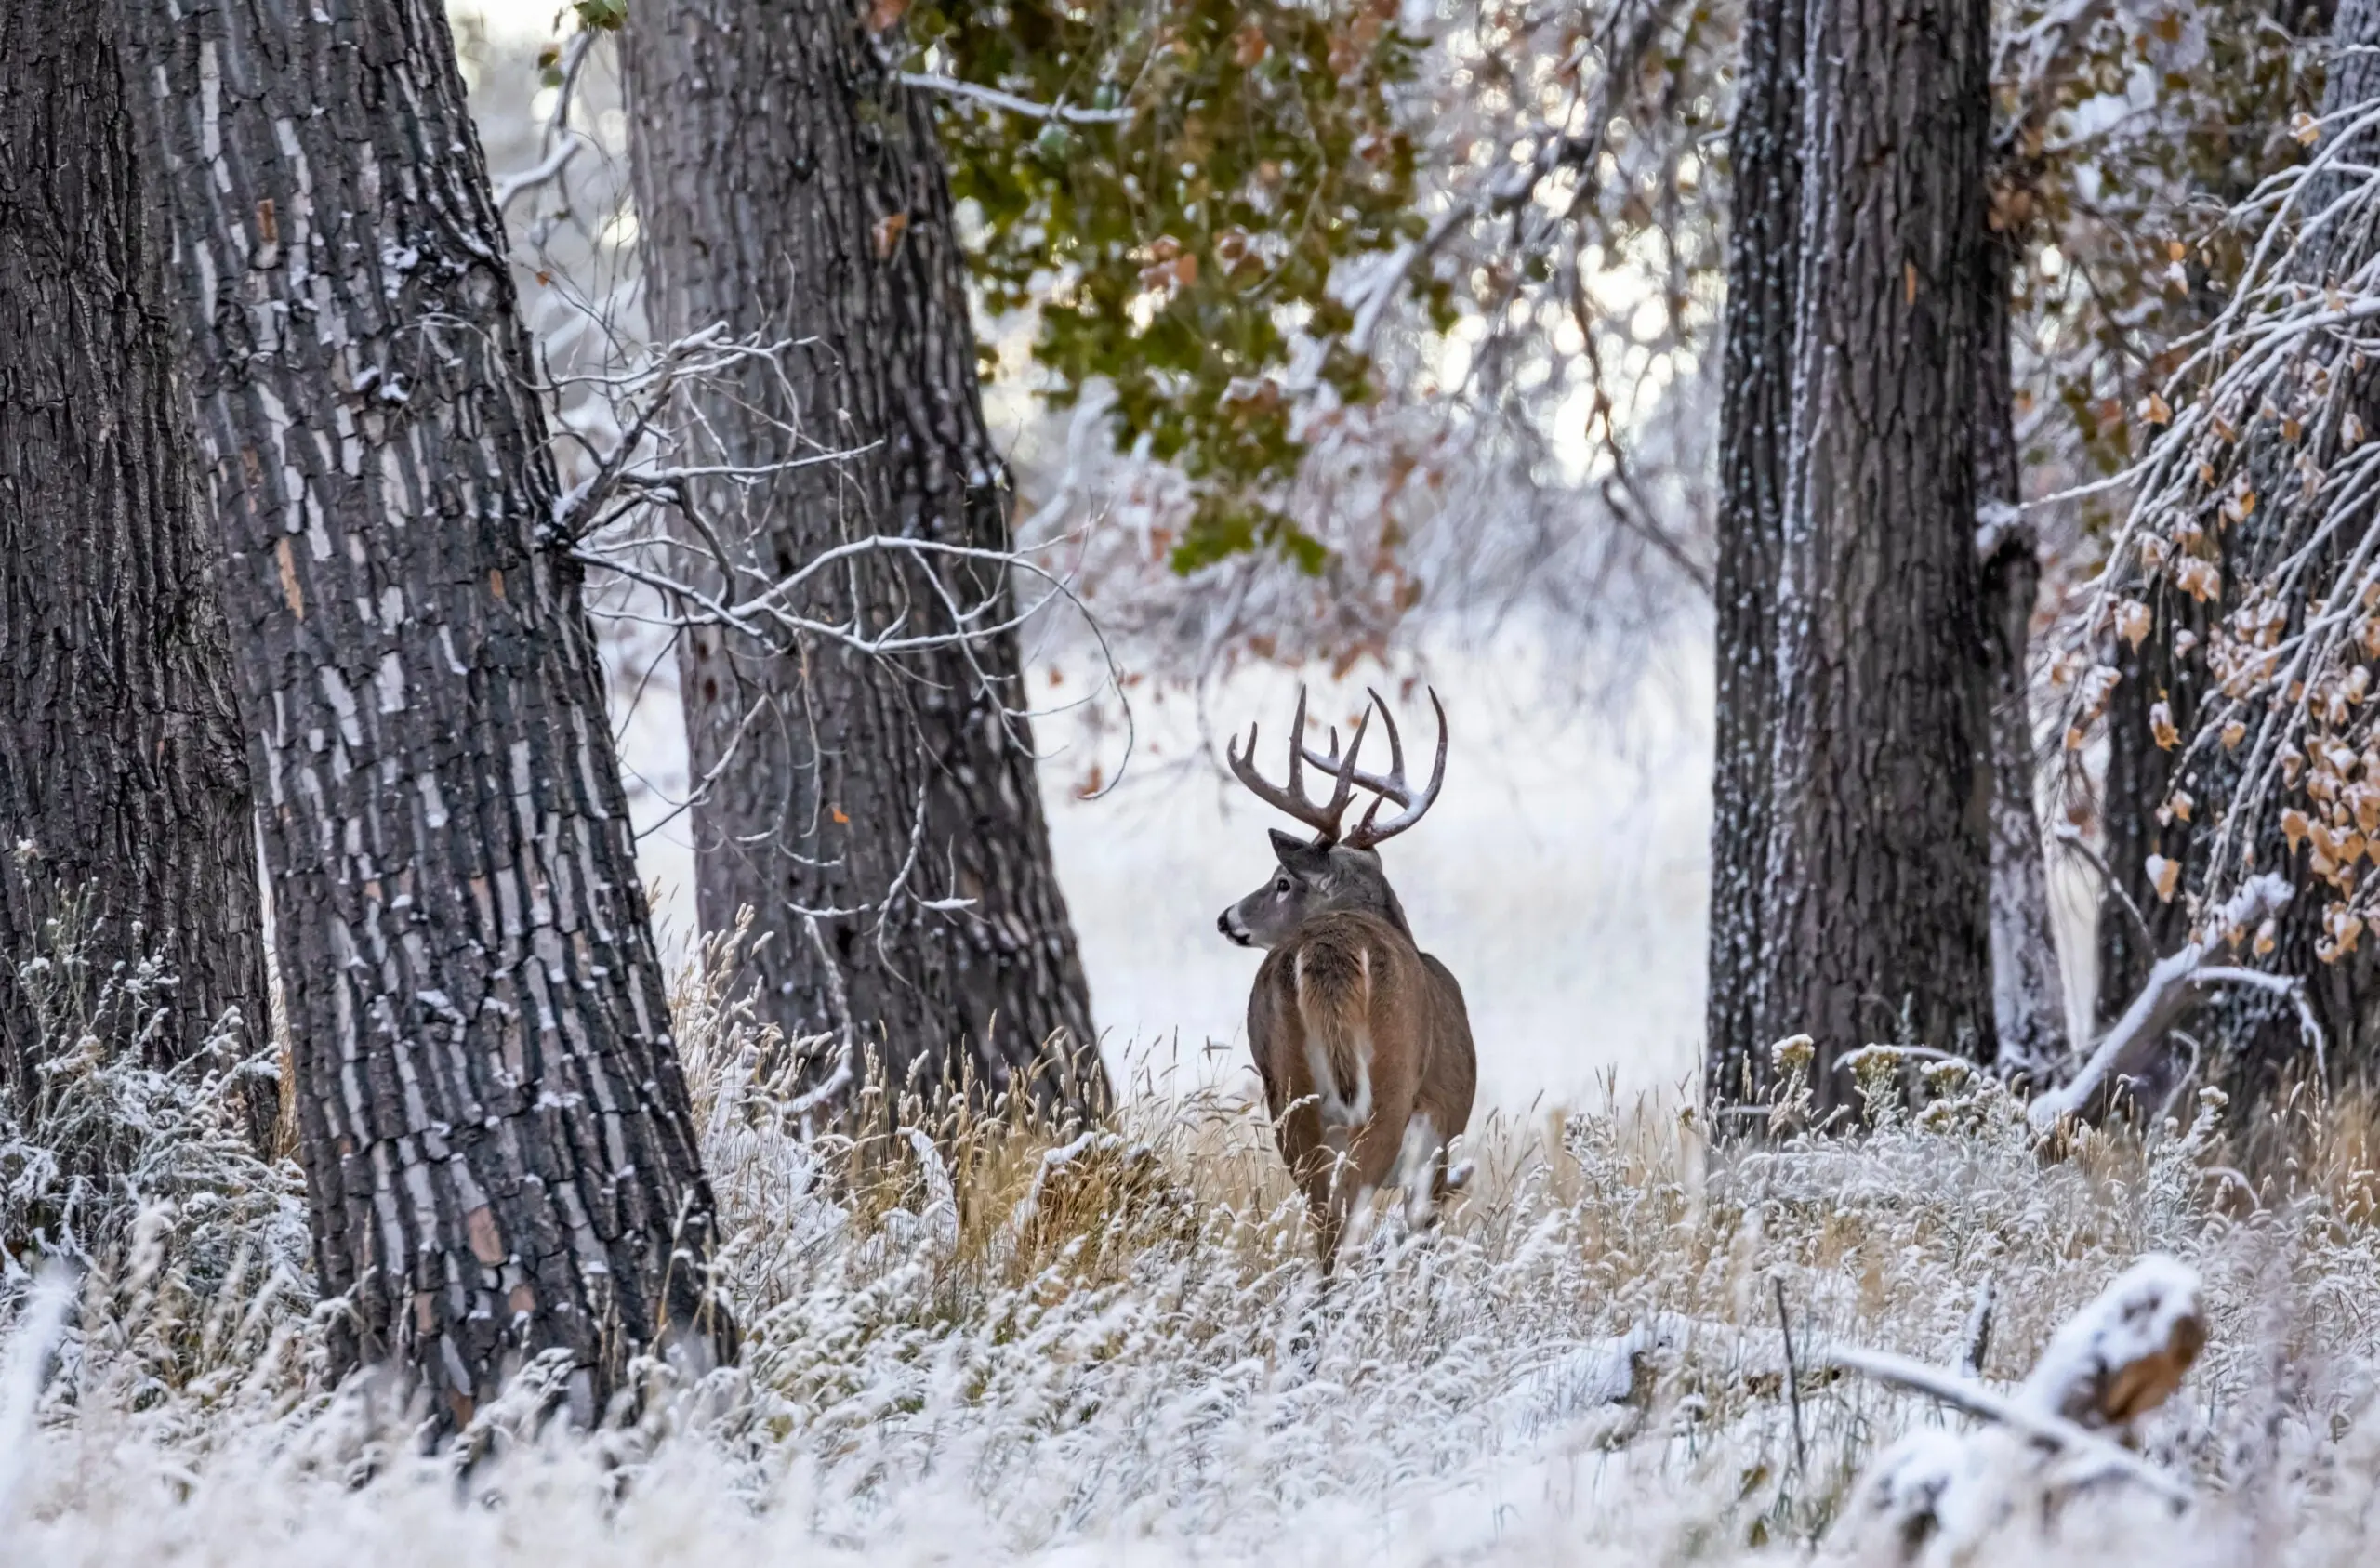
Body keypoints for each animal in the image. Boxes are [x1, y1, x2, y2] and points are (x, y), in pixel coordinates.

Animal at [1227, 694, 1465, 1265]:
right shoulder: (1441, 1138)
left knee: (1324, 1220)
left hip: (1288, 1092)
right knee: (1348, 1221)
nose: (1226, 918)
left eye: (1282, 882)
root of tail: (1327, 950)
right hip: (1390, 1089)